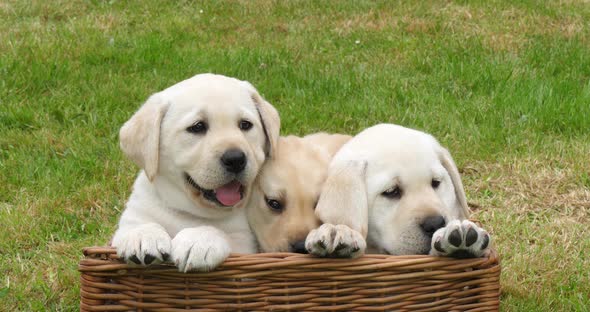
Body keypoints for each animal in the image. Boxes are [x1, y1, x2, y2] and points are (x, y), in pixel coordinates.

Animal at [111, 72, 282, 270]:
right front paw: (142, 235)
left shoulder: (245, 243)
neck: (190, 211)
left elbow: (222, 233)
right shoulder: (132, 217)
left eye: (245, 125)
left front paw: (199, 240)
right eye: (197, 127)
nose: (235, 159)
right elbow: (136, 225)